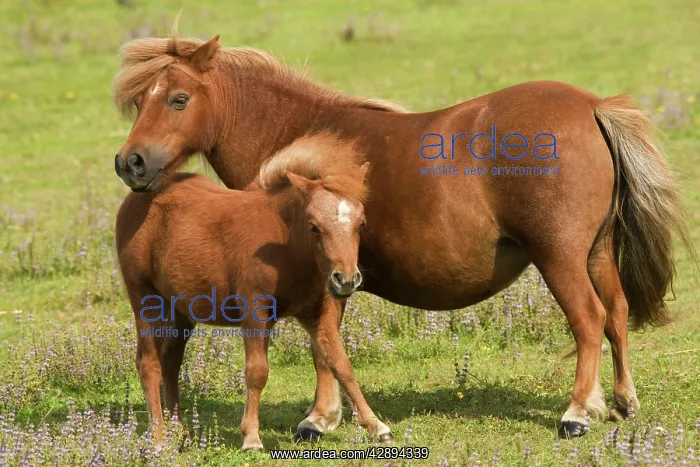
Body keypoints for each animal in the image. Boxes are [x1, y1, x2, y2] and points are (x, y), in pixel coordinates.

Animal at [115, 134, 386, 450]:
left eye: (361, 223)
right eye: (314, 226)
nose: (346, 280)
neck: (285, 244)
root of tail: (133, 201)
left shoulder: (318, 312)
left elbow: (341, 364)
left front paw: (376, 426)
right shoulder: (255, 311)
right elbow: (257, 371)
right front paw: (252, 437)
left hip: (180, 309)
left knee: (171, 361)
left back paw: (179, 432)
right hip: (145, 300)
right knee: (149, 364)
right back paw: (158, 439)